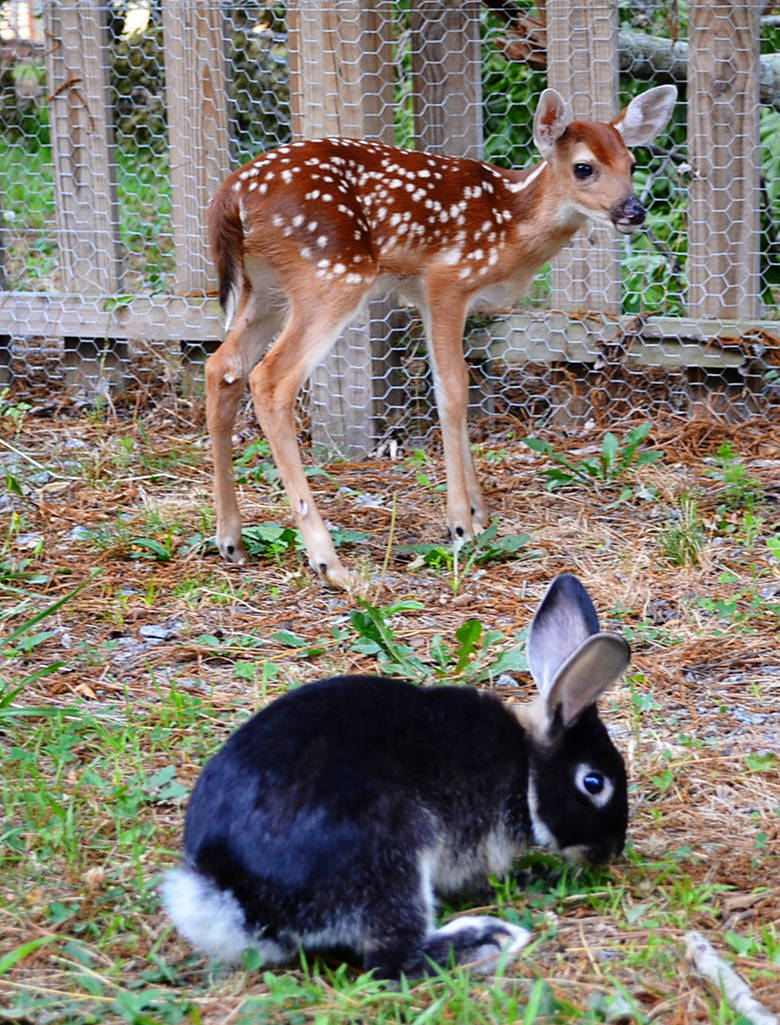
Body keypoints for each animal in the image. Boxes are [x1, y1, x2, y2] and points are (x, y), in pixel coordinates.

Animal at [162, 573, 630, 979]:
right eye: (594, 783)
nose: (609, 853)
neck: (525, 767)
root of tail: (236, 899)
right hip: (390, 856)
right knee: (393, 960)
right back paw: (491, 939)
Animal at [205, 85, 676, 588]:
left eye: (632, 162)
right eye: (584, 167)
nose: (633, 210)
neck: (510, 223)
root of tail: (231, 194)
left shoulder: (425, 295)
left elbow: (446, 383)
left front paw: (480, 513)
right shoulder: (448, 280)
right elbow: (454, 389)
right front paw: (460, 524)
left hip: (266, 287)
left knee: (223, 366)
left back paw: (230, 540)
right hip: (331, 273)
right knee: (271, 379)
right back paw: (329, 563)